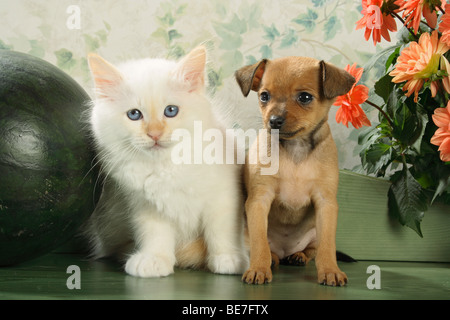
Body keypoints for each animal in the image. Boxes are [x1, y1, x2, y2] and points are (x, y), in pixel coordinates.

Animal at [82, 45, 248, 278]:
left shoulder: (225, 195)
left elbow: (222, 231)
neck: (166, 166)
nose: (154, 134)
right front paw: (154, 260)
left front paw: (229, 259)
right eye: (134, 114)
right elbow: (155, 235)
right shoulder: (146, 205)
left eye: (171, 111)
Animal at [236, 56, 356, 286]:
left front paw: (330, 270)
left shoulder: (326, 204)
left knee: (312, 250)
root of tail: (285, 251)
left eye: (305, 97)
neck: (296, 147)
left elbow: (328, 246)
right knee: (269, 248)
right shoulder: (259, 200)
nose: (273, 121)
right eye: (264, 96)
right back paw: (274, 259)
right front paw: (258, 268)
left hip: (314, 232)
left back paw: (299, 255)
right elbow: (259, 243)